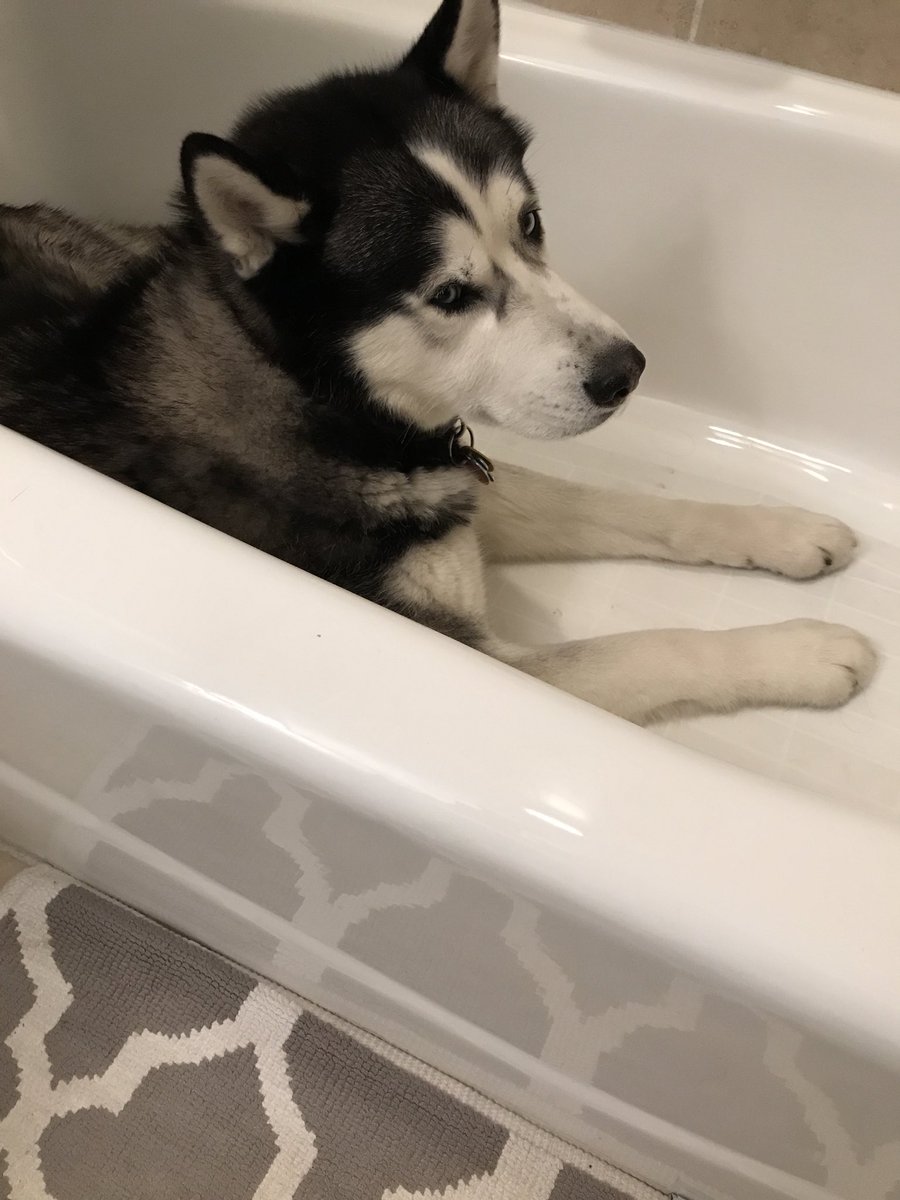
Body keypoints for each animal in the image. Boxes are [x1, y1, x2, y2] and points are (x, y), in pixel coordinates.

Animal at [0, 0, 876, 725]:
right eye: (450, 294)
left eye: (531, 222)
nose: (625, 371)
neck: (318, 400)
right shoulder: (463, 646)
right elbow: (649, 648)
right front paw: (804, 650)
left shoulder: (454, 479)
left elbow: (609, 504)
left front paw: (781, 529)